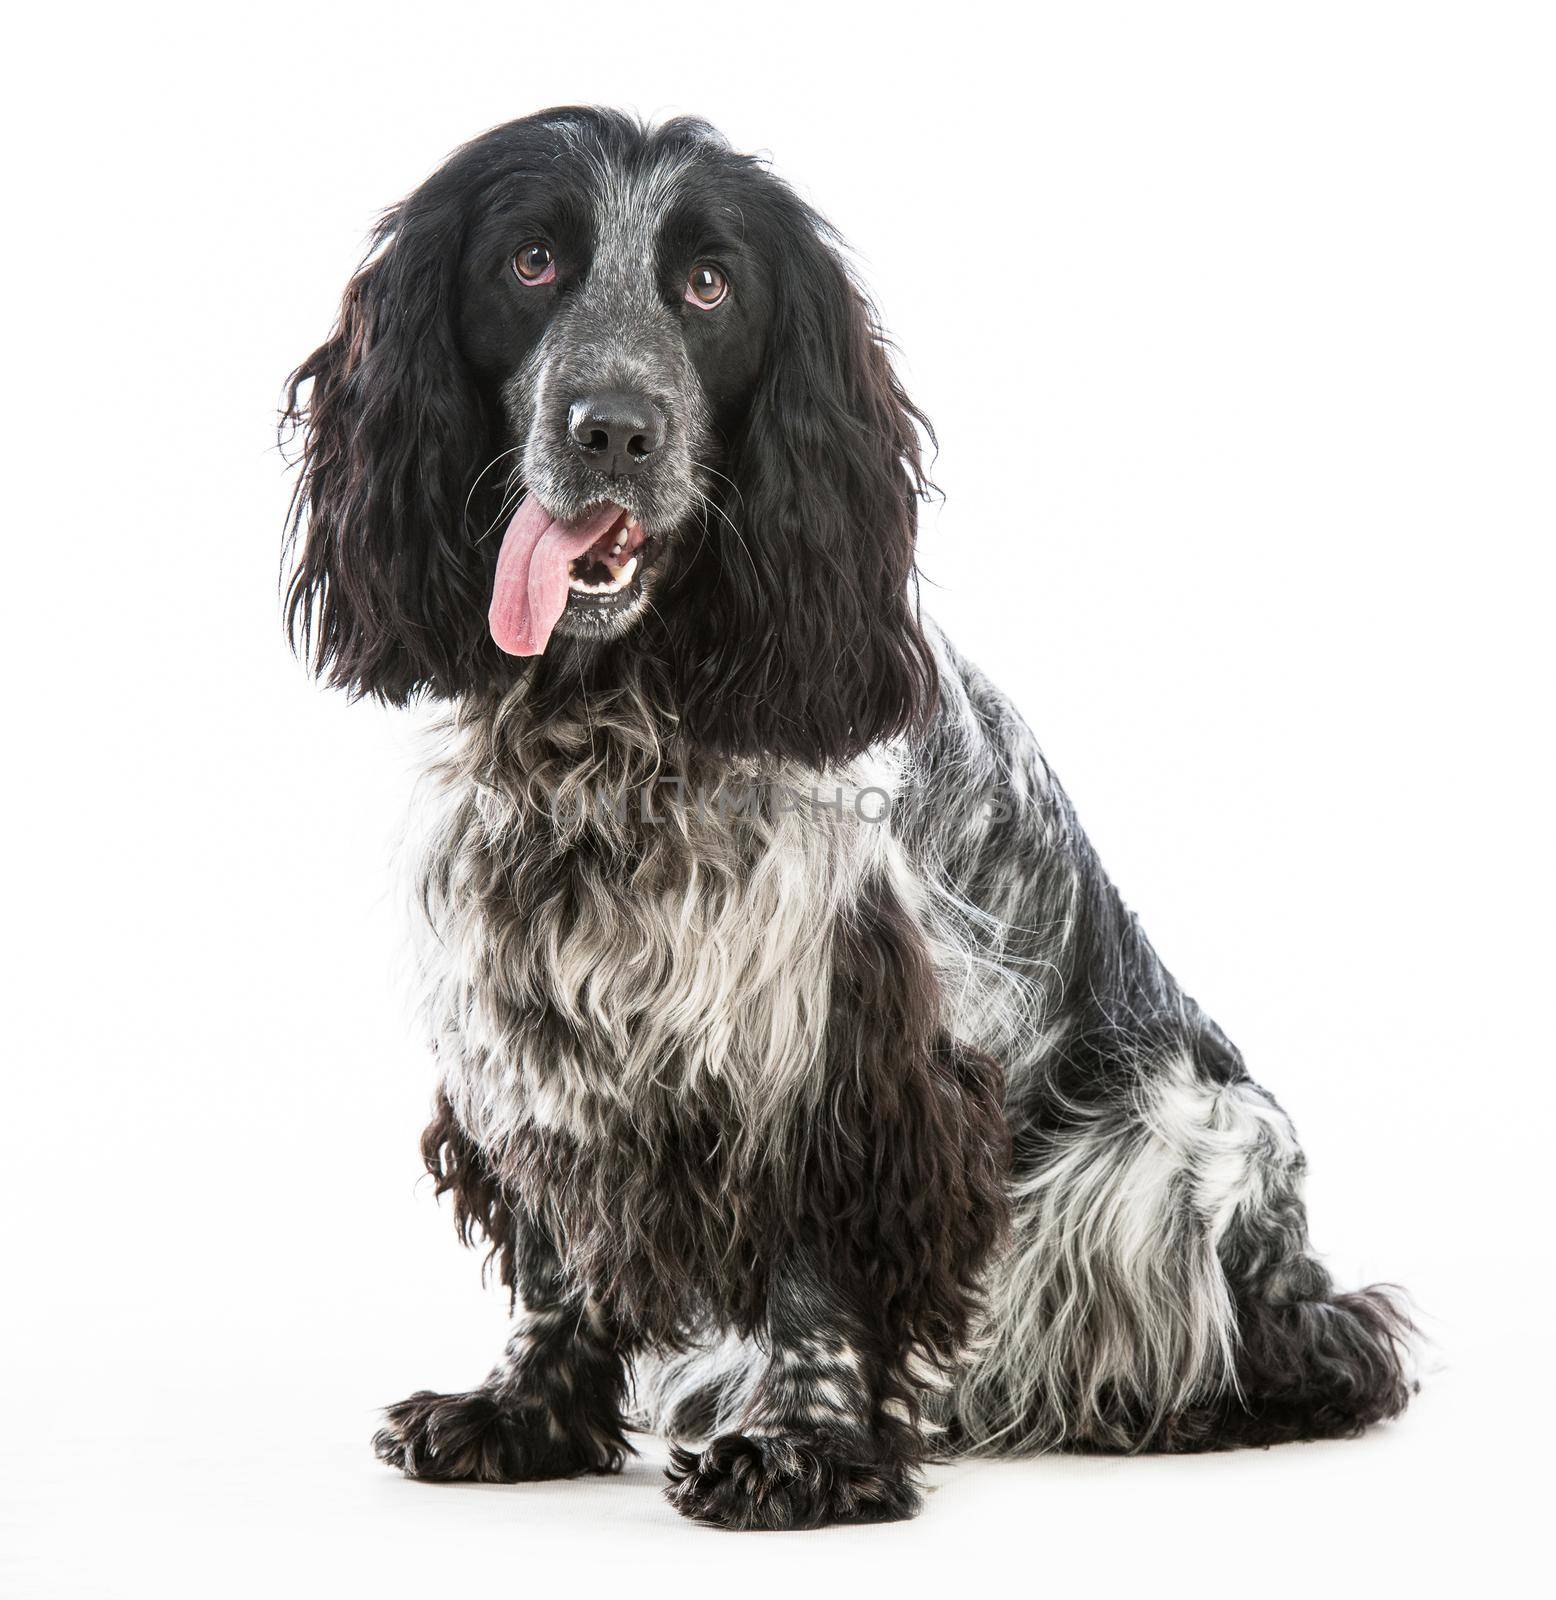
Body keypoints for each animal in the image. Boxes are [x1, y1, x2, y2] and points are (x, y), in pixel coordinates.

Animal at [280, 106, 1408, 1529]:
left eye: (709, 286)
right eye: (530, 262)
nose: (612, 429)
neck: (617, 714)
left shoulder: (844, 1024)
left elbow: (817, 1249)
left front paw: (801, 1446)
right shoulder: (525, 1012)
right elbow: (556, 1251)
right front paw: (525, 1411)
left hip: (1179, 1151)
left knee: (1305, 1341)